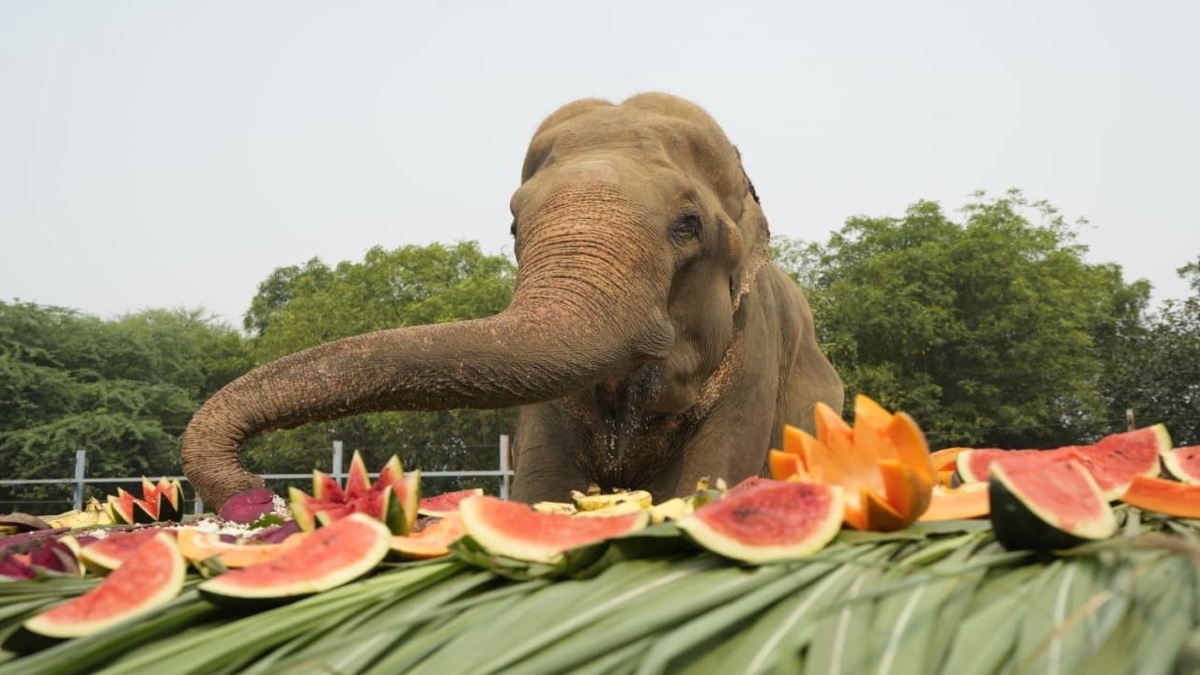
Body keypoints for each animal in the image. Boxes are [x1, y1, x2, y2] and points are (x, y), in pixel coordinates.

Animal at [181, 92, 844, 511]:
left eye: (688, 225)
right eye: (513, 224)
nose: (256, 493)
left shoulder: (755, 351)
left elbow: (704, 484)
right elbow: (542, 490)